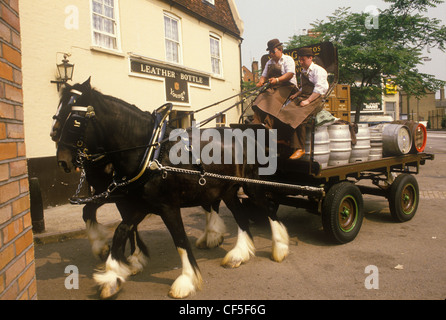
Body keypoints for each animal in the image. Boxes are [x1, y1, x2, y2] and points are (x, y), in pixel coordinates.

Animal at [50, 79, 288, 298]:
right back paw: (239, 254)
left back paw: (279, 247)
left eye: (75, 121)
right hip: (227, 190)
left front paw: (186, 280)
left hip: (251, 185)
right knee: (240, 216)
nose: (62, 161)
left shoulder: (167, 207)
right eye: (57, 114)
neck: (150, 153)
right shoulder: (139, 204)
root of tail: (246, 135)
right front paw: (112, 275)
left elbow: (180, 239)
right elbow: (120, 231)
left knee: (267, 208)